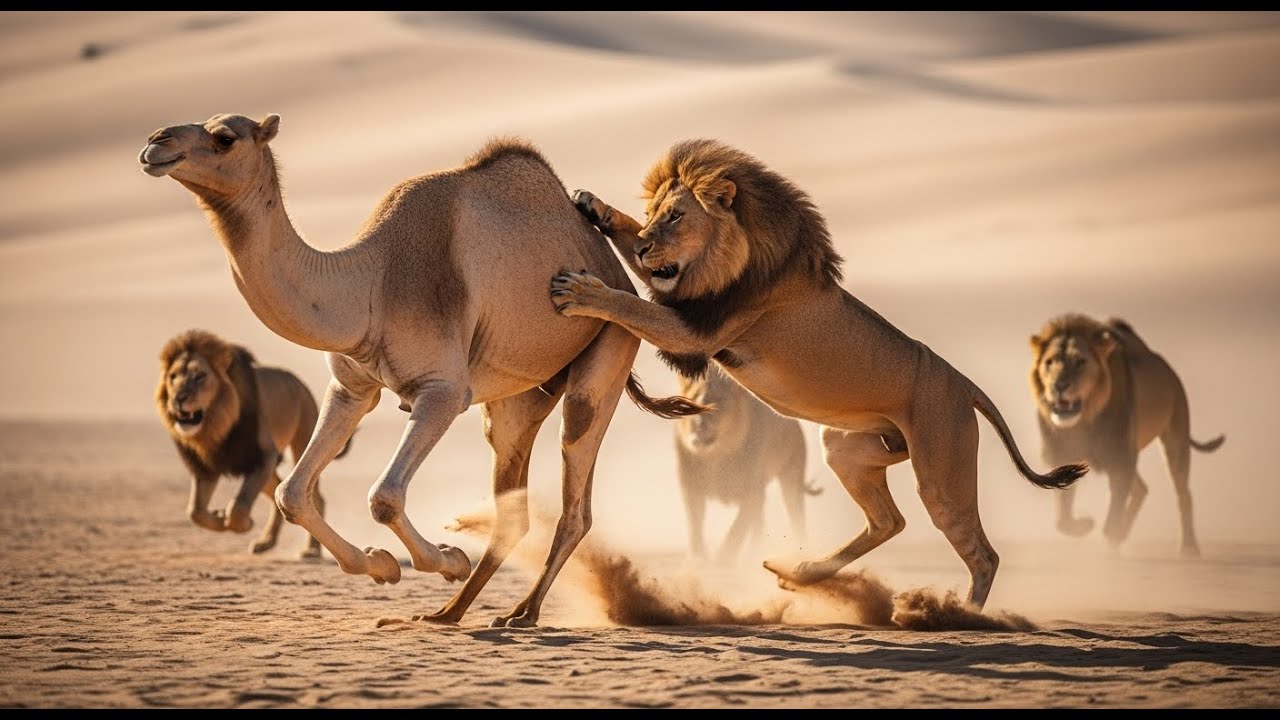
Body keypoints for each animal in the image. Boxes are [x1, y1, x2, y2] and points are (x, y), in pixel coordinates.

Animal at [156, 328, 344, 557]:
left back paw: (311, 550)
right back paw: (266, 542)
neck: (215, 427)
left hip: (303, 442)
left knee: (314, 496)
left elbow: (239, 505)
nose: (179, 398)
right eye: (173, 377)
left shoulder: (263, 456)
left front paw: (241, 522)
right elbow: (195, 512)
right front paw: (219, 518)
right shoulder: (205, 467)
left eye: (200, 376)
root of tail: (298, 382)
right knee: (276, 491)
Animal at [676, 364, 822, 564]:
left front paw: (724, 558)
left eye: (718, 401)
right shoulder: (690, 489)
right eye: (692, 400)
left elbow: (737, 528)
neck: (715, 456)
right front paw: (698, 558)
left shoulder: (753, 491)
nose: (699, 424)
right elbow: (695, 525)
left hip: (792, 475)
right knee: (759, 524)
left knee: (796, 517)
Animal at [1030, 313, 1224, 556]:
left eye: (1080, 361)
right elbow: (1062, 520)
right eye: (1050, 362)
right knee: (1141, 489)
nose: (1058, 385)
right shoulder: (1061, 456)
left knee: (1184, 494)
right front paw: (1087, 526)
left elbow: (1113, 514)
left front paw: (1109, 540)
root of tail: (1168, 369)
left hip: (1175, 441)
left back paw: (1188, 546)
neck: (1084, 422)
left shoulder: (1121, 458)